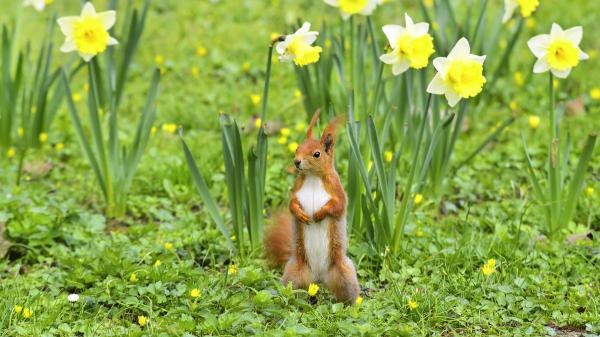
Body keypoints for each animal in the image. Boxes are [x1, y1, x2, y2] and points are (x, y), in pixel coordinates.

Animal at [264, 109, 358, 302]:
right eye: (296, 149)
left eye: (317, 154)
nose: (296, 162)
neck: (313, 177)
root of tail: (319, 277)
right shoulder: (296, 191)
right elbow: (292, 205)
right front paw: (301, 215)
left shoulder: (337, 191)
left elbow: (338, 207)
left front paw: (320, 214)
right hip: (295, 274)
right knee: (291, 291)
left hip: (342, 273)